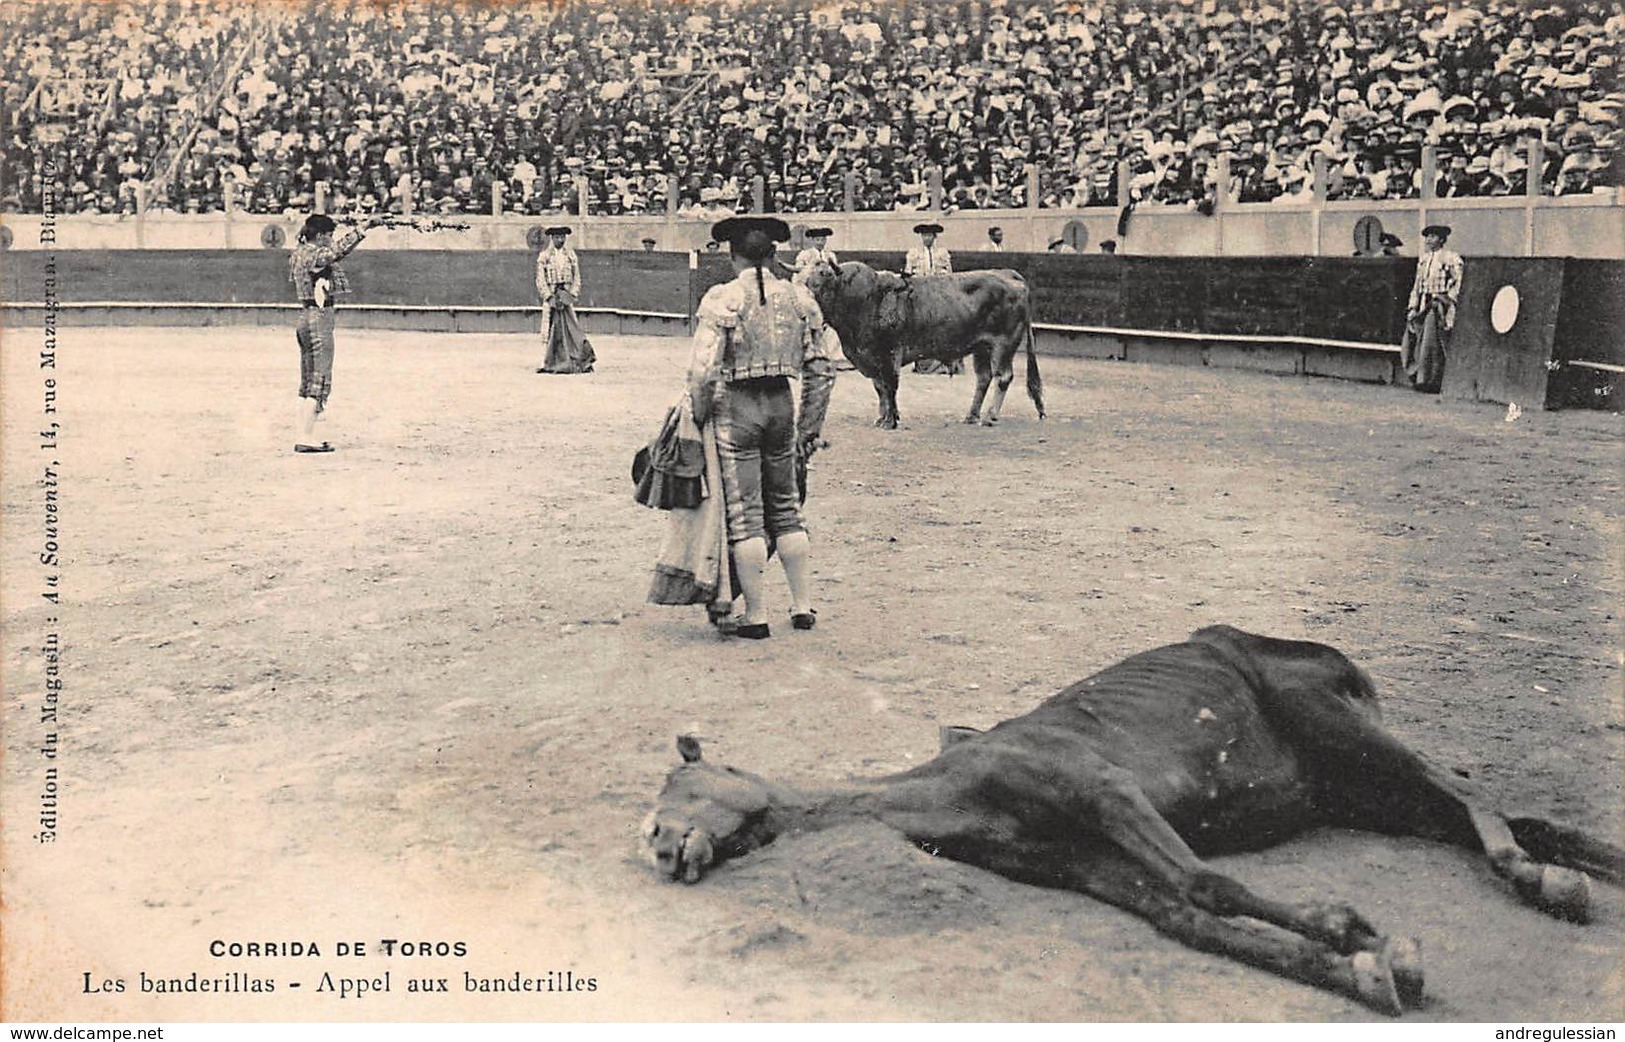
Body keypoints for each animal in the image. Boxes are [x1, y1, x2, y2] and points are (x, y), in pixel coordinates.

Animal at [646, 620, 1625, 1014]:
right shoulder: (1093, 867)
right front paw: (1367, 968)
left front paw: (1355, 931)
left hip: (1330, 720)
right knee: (1498, 811)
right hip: (1352, 787)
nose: (655, 845)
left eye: (681, 782)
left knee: (1466, 790)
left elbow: (1206, 881)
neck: (961, 784)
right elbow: (1189, 918)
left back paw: (1545, 882)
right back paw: (1564, 872)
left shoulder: (1103, 791)